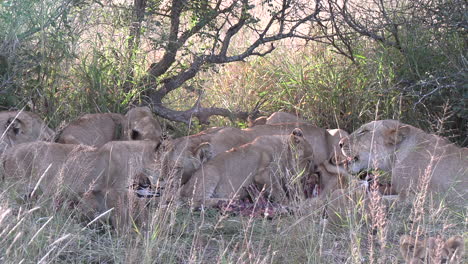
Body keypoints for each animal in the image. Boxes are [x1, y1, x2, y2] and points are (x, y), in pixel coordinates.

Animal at [2, 140, 162, 229]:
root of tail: (8, 151)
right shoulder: (114, 191)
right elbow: (121, 216)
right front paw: (124, 235)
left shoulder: (99, 192)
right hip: (16, 187)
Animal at [179, 129, 314, 209]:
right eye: (309, 161)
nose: (306, 176)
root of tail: (183, 189)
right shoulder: (264, 174)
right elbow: (279, 192)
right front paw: (291, 204)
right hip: (211, 173)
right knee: (196, 200)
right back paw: (229, 201)